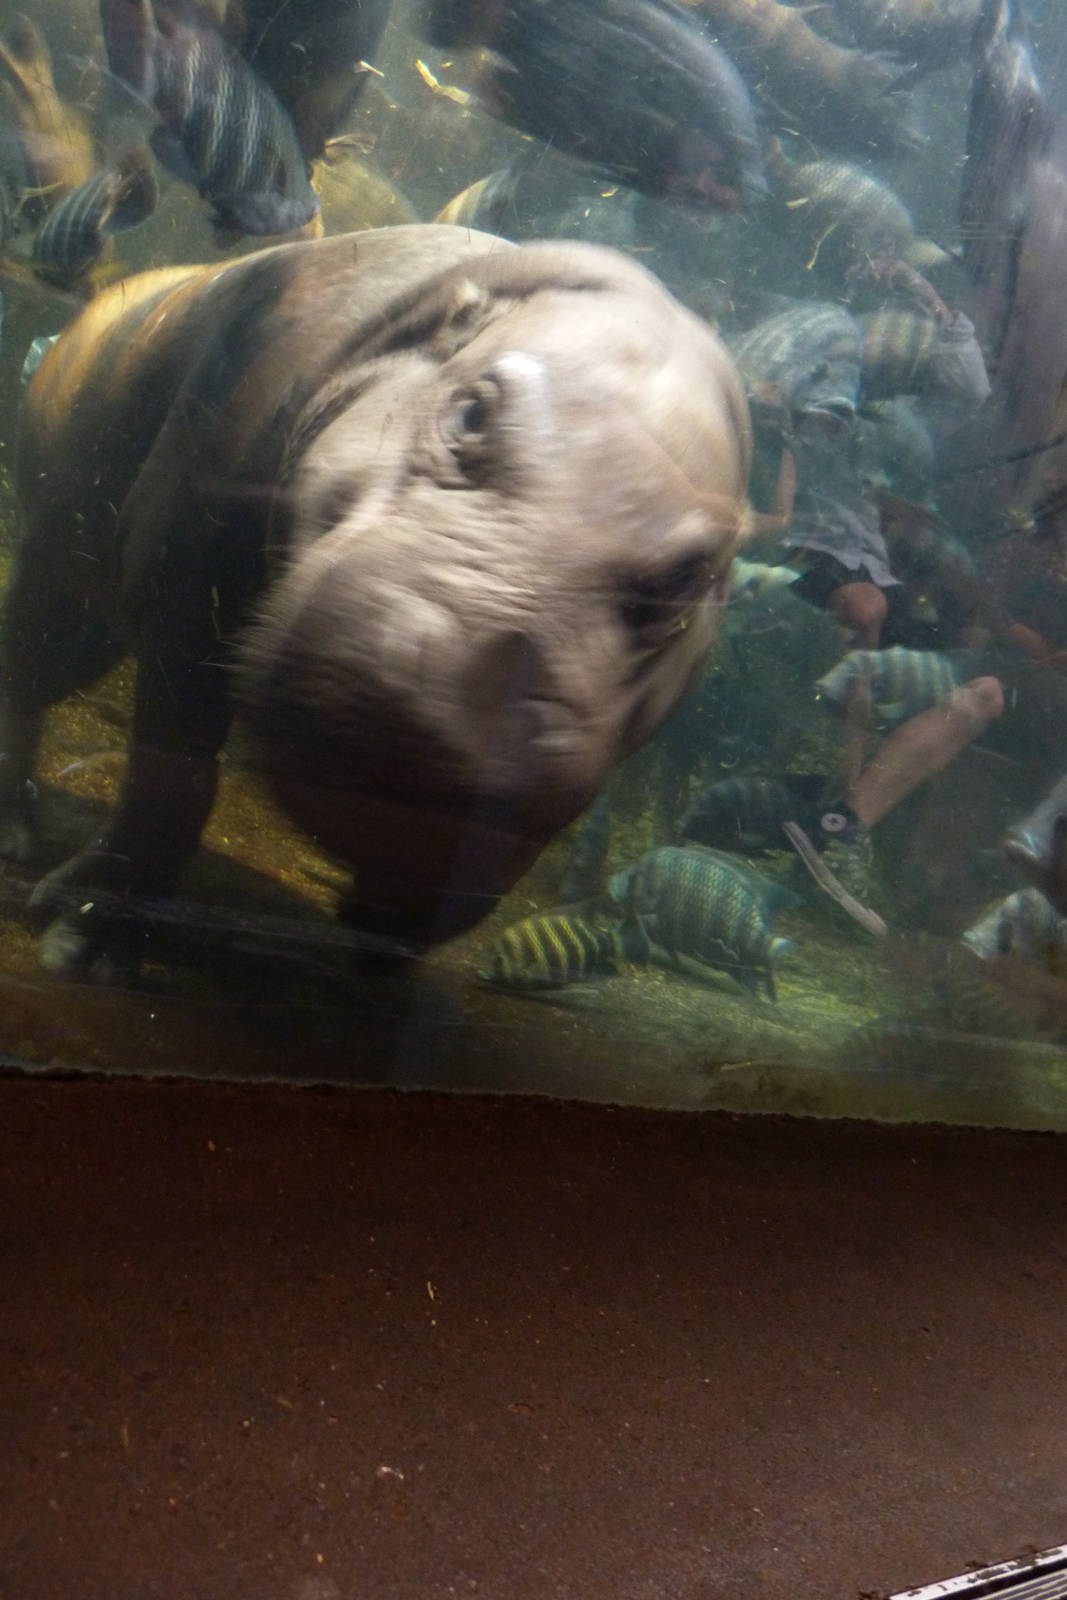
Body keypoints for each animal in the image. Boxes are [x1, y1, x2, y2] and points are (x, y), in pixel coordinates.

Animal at [0, 224, 751, 974]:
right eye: (471, 411)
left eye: (689, 579)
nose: (466, 717)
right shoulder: (184, 590)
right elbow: (174, 776)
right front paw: (83, 949)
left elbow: (485, 873)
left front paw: (382, 936)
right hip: (56, 561)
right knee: (28, 668)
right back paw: (17, 836)